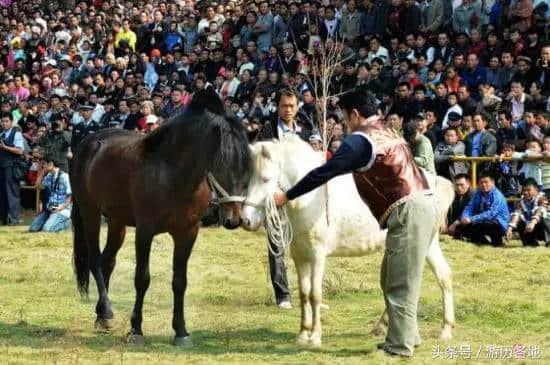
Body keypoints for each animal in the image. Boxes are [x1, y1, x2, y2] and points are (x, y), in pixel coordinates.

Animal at [70, 87, 253, 344]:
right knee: (96, 260)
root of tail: (86, 144)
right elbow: (142, 278)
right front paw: (136, 329)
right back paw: (106, 312)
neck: (171, 172)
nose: (233, 219)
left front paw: (181, 331)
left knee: (107, 261)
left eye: (246, 169)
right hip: (91, 214)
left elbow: (180, 281)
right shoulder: (145, 231)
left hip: (116, 221)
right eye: (221, 165)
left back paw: (101, 316)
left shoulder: (188, 233)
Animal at [242, 135, 458, 346]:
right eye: (249, 179)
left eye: (266, 179)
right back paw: (383, 327)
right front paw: (303, 334)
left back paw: (446, 330)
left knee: (442, 277)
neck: (310, 200)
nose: (245, 220)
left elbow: (315, 295)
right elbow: (304, 294)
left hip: (427, 244)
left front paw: (315, 337)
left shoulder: (317, 256)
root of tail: (433, 183)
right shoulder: (300, 256)